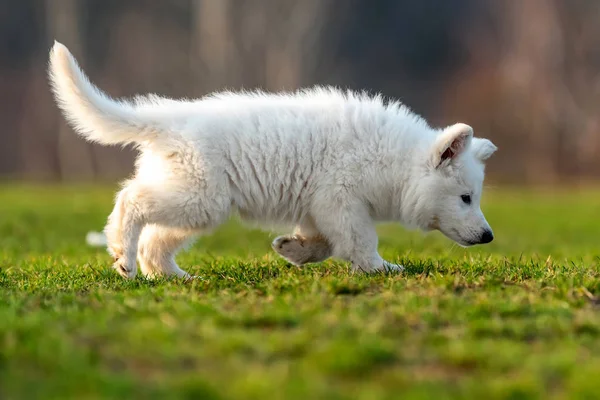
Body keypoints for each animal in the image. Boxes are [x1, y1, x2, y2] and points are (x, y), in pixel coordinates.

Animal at [47, 40, 496, 278]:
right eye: (466, 198)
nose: (489, 236)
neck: (394, 159)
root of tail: (170, 120)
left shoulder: (320, 206)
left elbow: (325, 243)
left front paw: (292, 249)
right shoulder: (340, 199)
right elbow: (359, 240)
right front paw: (379, 268)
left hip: (198, 204)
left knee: (156, 240)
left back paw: (172, 276)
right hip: (199, 196)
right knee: (131, 199)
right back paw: (122, 254)